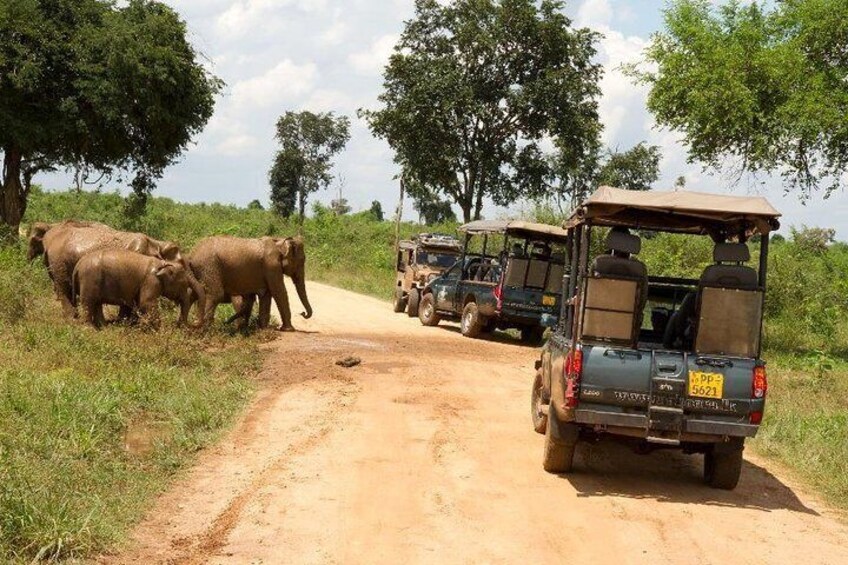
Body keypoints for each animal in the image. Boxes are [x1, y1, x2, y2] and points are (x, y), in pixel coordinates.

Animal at [70, 250, 202, 328]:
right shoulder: (151, 281)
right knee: (88, 302)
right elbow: (146, 303)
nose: (176, 324)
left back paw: (105, 327)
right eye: (184, 284)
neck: (162, 263)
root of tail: (78, 265)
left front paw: (140, 325)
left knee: (97, 303)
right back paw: (90, 329)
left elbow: (140, 303)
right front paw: (157, 328)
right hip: (89, 279)